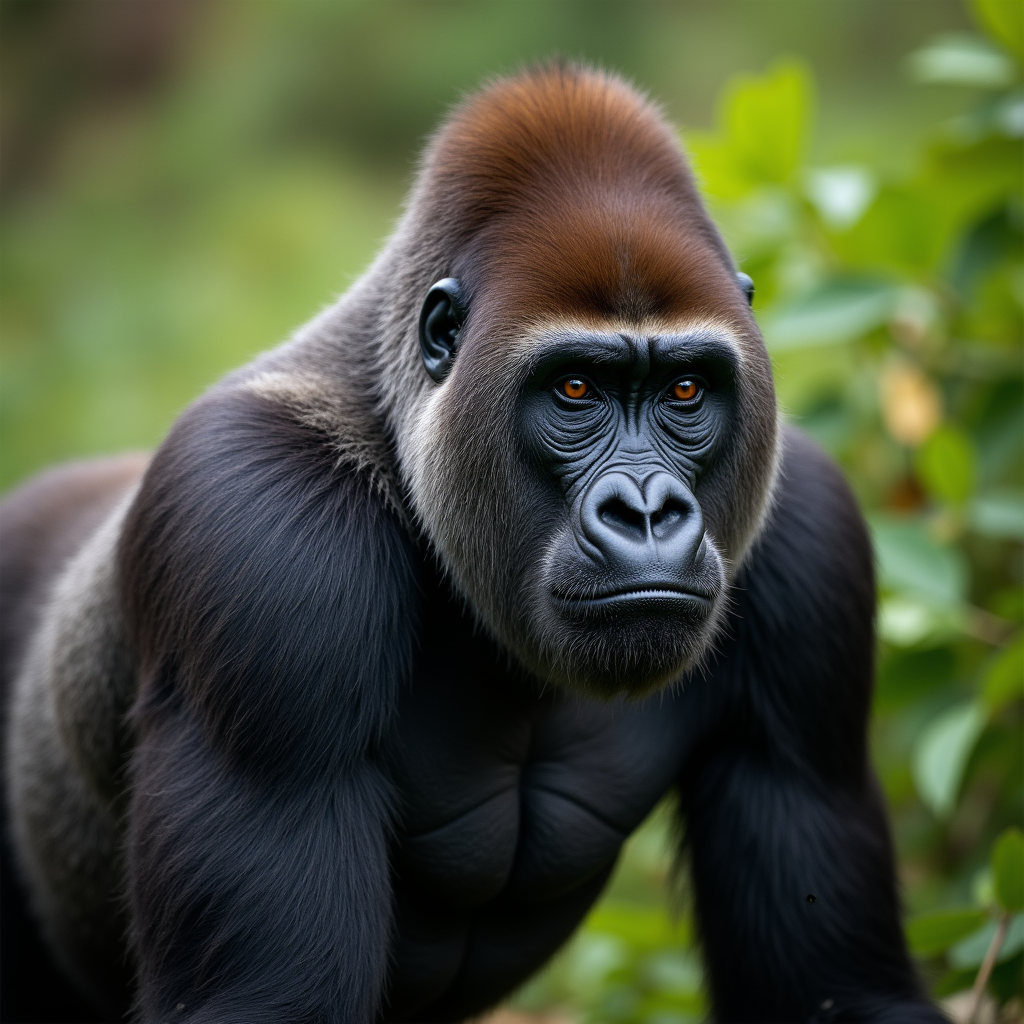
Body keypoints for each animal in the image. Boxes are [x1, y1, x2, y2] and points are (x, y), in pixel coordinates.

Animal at [0, 65, 945, 1024]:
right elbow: (264, 1001)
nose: (646, 512)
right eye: (575, 389)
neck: (392, 422)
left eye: (685, 390)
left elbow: (838, 990)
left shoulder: (810, 527)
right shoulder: (249, 520)